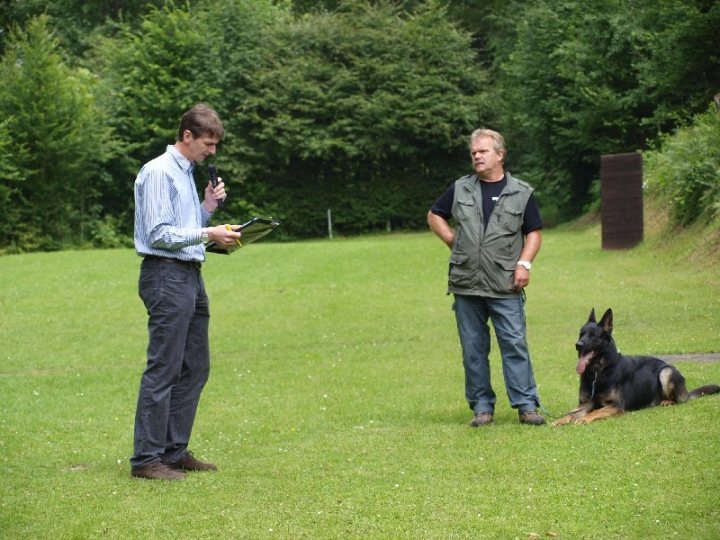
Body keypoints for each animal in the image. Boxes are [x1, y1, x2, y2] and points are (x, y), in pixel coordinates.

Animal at [556, 308, 716, 426]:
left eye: (593, 335)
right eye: (581, 334)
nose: (578, 345)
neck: (598, 373)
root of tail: (687, 393)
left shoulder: (616, 406)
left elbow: (595, 411)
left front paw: (584, 418)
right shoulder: (585, 404)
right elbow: (571, 413)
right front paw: (561, 419)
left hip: (666, 372)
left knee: (678, 399)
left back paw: (667, 401)